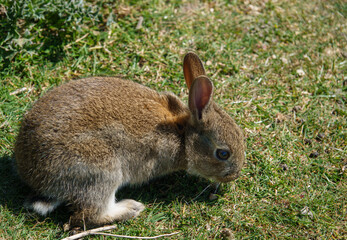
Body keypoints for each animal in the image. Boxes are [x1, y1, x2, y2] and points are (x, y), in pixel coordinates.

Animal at [14, 52, 246, 225]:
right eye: (223, 153)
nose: (234, 175)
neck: (183, 134)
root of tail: (38, 179)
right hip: (101, 169)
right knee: (89, 214)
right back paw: (131, 208)